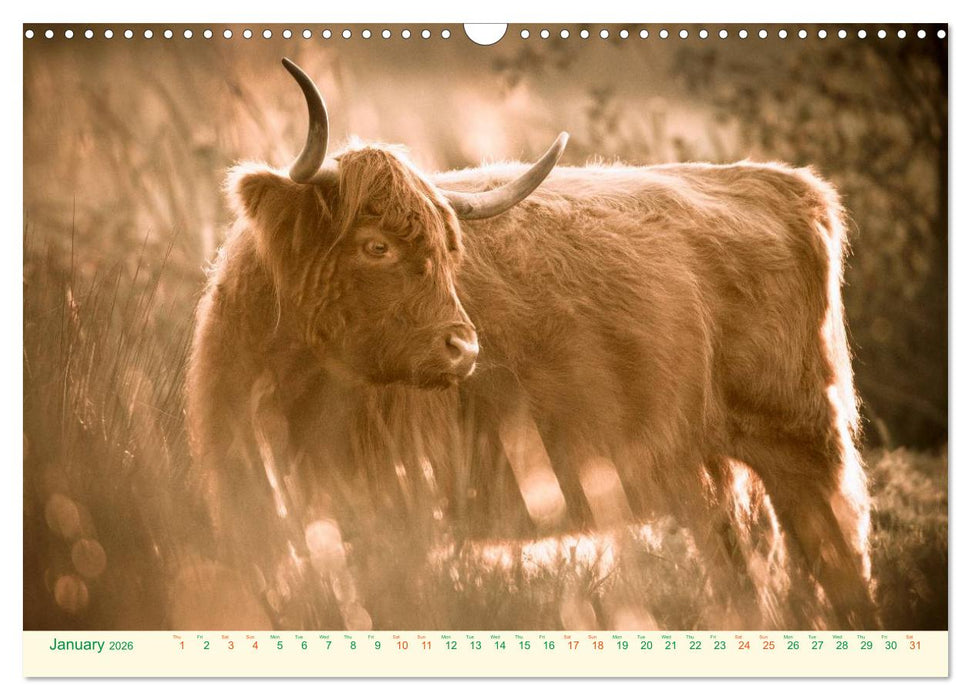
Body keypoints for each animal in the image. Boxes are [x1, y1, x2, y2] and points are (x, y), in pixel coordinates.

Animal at [186, 58, 876, 629]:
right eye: (374, 245)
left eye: (449, 252)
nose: (463, 349)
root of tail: (785, 183)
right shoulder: (250, 503)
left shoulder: (401, 504)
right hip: (711, 468)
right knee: (743, 573)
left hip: (803, 441)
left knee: (840, 558)